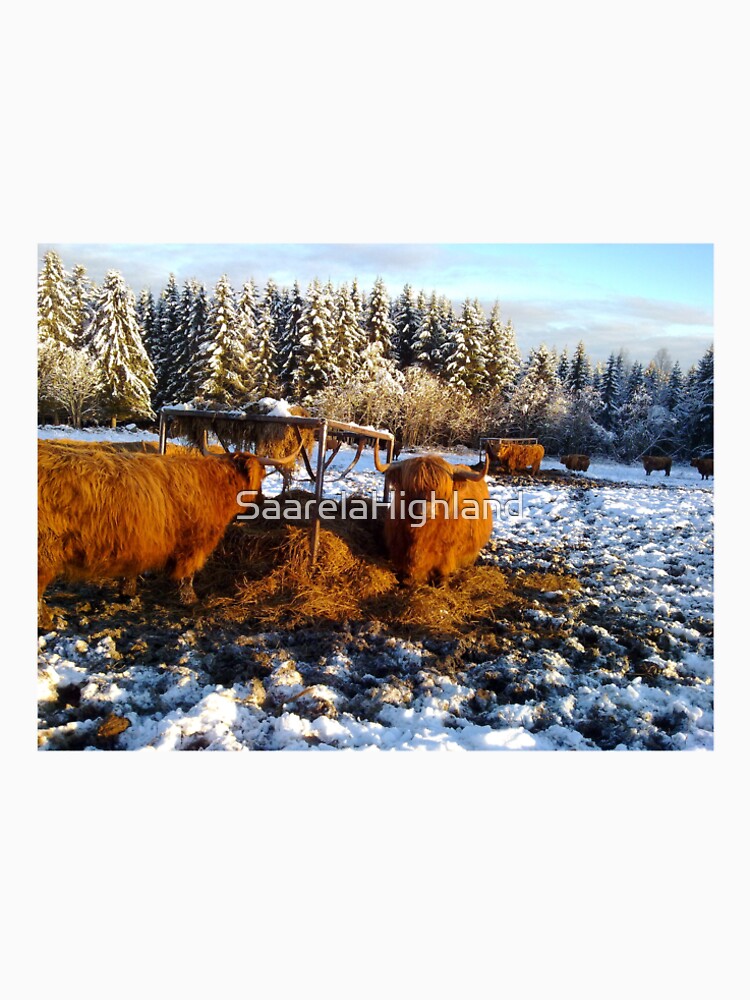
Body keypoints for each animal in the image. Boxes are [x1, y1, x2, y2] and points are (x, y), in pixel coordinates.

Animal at [37, 443, 293, 619]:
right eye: (262, 475)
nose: (262, 500)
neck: (215, 486)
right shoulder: (194, 543)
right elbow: (188, 575)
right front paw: (190, 600)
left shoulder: (136, 541)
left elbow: (131, 571)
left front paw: (127, 593)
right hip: (45, 552)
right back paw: (47, 622)